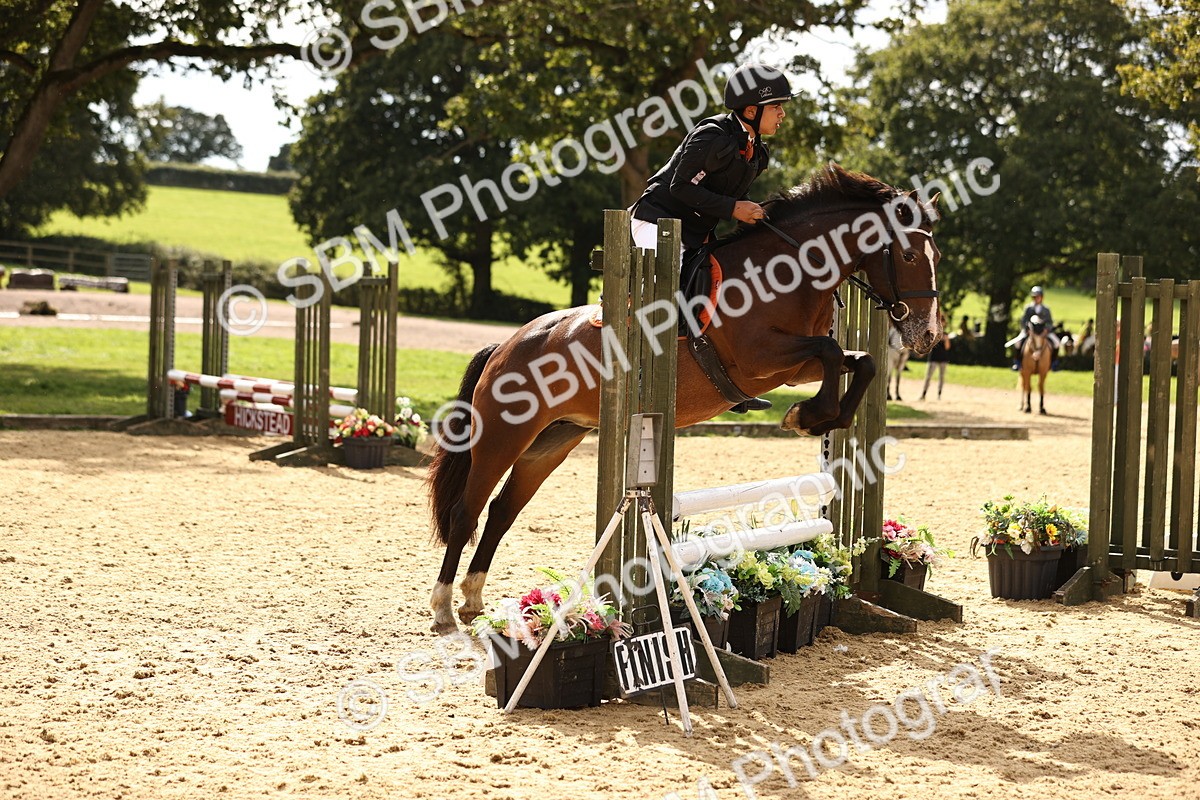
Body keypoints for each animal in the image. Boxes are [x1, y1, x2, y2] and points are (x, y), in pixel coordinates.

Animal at [425, 165, 943, 634]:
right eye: (909, 255)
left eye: (933, 253)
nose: (928, 336)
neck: (789, 272)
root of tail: (506, 345)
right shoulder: (761, 358)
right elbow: (834, 352)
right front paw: (809, 416)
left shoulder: (792, 368)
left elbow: (860, 361)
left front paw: (814, 418)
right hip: (502, 436)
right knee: (467, 511)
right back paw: (444, 607)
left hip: (551, 442)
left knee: (502, 511)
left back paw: (473, 600)